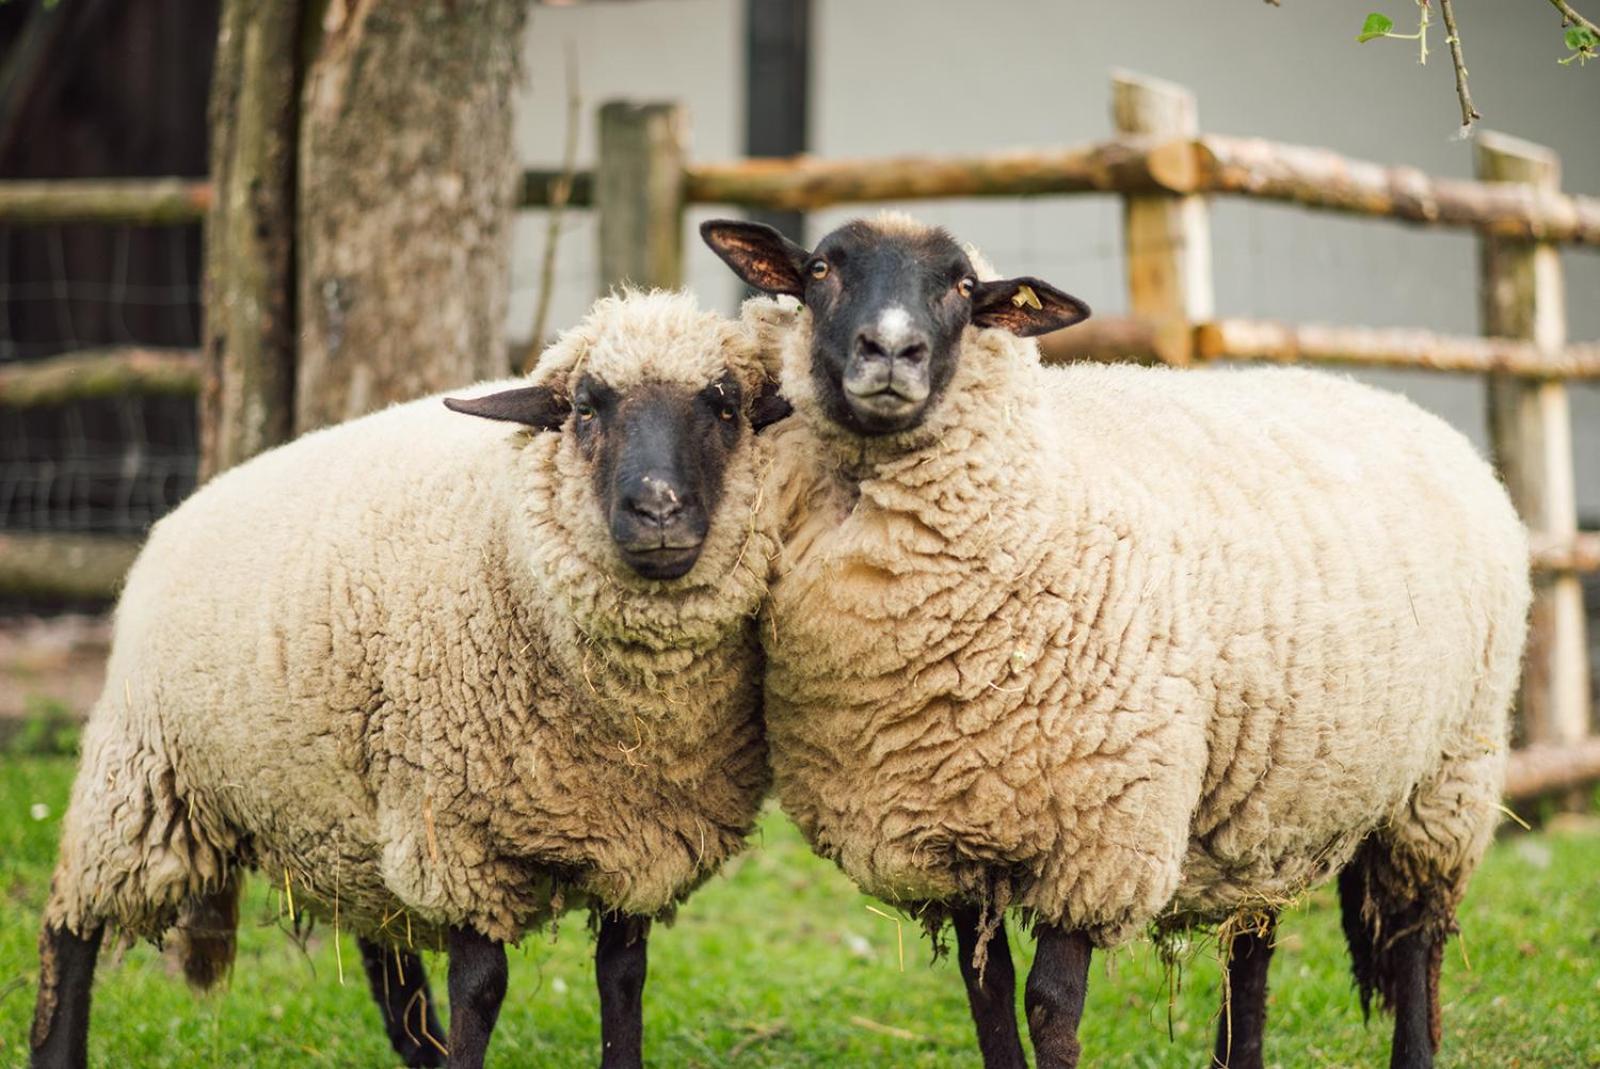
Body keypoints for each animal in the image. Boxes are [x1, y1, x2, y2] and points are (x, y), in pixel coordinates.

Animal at [28, 289, 790, 1069]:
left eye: (725, 404)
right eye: (586, 406)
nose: (658, 510)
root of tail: (178, 513)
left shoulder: (641, 844)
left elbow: (623, 977)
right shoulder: (456, 834)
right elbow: (481, 986)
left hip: (341, 818)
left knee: (386, 954)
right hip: (143, 775)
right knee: (70, 924)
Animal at [707, 214, 1529, 1069]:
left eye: (963, 286)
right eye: (822, 268)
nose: (892, 348)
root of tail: (1403, 405)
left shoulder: (1097, 836)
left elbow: (1050, 1004)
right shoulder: (952, 832)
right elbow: (987, 993)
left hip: (1448, 772)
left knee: (1417, 937)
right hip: (1276, 794)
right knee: (1254, 940)